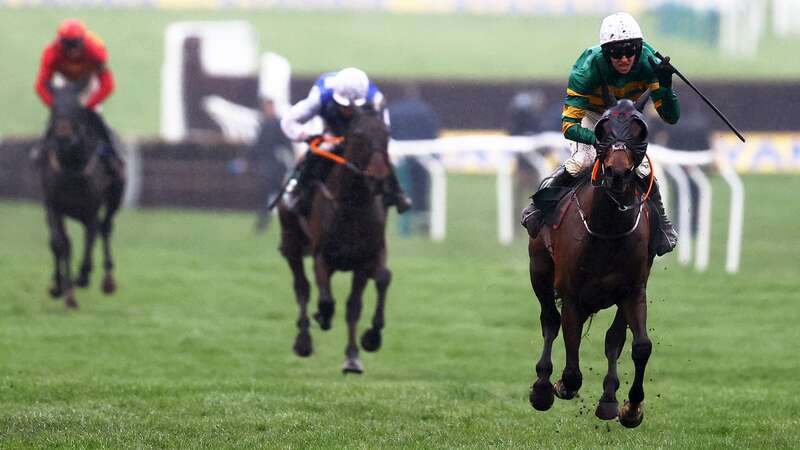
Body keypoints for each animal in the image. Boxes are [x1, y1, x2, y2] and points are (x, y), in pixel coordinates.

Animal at [39, 79, 125, 308]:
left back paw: (108, 281)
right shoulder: (54, 207)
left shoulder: (90, 210)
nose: (63, 136)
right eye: (54, 106)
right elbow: (61, 244)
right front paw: (63, 291)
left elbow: (90, 239)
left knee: (106, 227)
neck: (71, 167)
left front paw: (83, 277)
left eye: (76, 107)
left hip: (115, 197)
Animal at [278, 107, 394, 374]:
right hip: (291, 244)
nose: (379, 177)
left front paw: (362, 348)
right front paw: (323, 317)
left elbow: (359, 302)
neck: (352, 204)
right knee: (302, 287)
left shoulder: (367, 258)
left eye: (386, 133)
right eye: (359, 134)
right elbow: (326, 300)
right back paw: (303, 341)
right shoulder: (322, 257)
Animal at [524, 89, 656, 428]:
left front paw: (629, 406)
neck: (608, 228)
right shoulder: (572, 295)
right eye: (603, 130)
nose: (617, 173)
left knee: (613, 339)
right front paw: (559, 385)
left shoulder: (633, 290)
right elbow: (571, 365)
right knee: (550, 320)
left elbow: (637, 345)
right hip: (539, 270)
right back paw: (542, 387)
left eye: (640, 130)